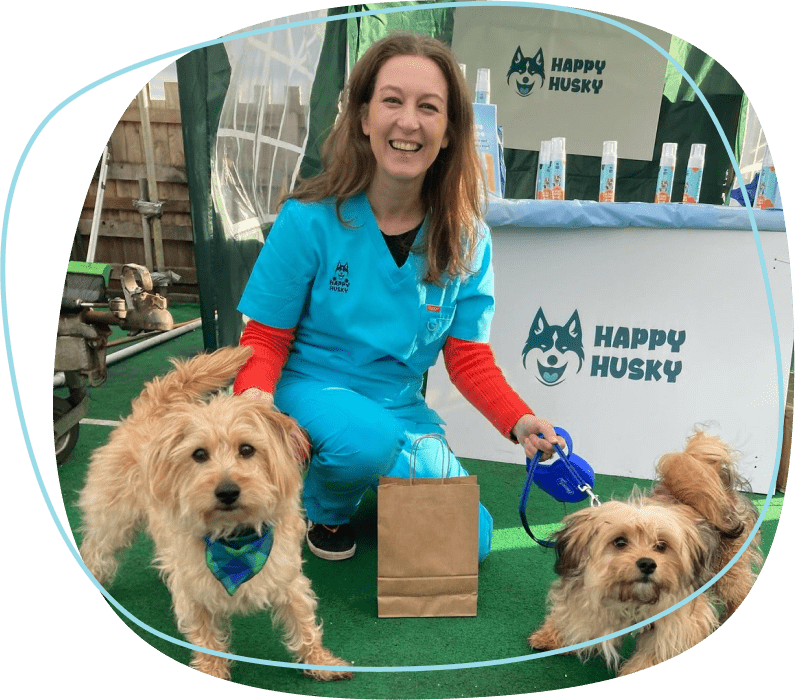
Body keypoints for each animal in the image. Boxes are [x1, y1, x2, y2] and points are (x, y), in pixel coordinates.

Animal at [78, 345, 353, 681]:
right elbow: (206, 636)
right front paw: (212, 671)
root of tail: (149, 411)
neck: (235, 540)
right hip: (113, 521)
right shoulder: (194, 592)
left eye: (247, 449)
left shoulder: (288, 579)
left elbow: (305, 625)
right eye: (199, 454)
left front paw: (321, 661)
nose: (227, 492)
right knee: (95, 552)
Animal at [529, 430, 762, 676]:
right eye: (620, 542)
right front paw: (552, 636)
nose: (648, 564)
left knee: (739, 589)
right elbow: (572, 616)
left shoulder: (678, 619)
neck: (633, 598)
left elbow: (655, 652)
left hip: (730, 567)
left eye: (661, 546)